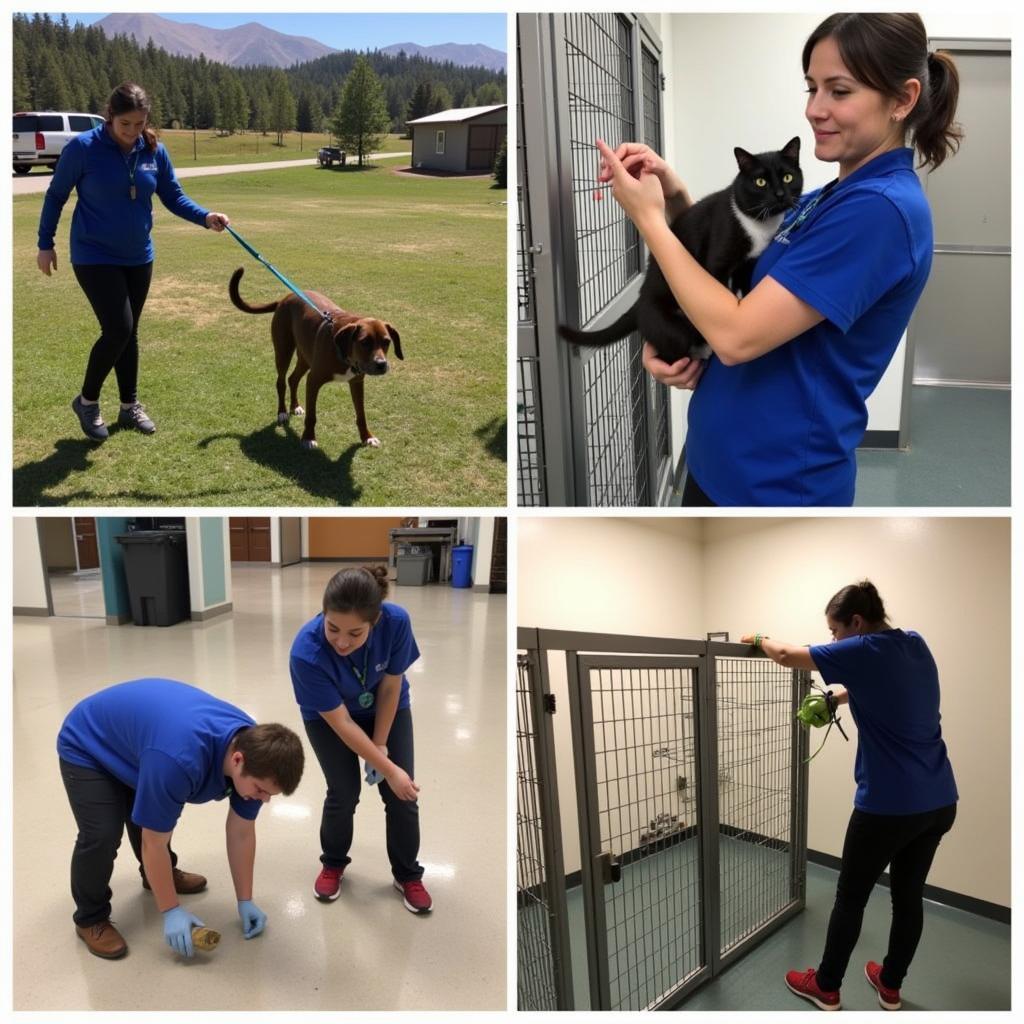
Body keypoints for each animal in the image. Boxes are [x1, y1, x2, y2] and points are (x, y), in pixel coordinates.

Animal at [227, 268, 399, 448]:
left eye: (387, 342)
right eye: (364, 342)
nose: (381, 364)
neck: (344, 354)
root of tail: (284, 299)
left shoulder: (357, 383)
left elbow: (361, 414)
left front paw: (367, 437)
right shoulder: (313, 380)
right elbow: (312, 415)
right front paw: (309, 437)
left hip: (304, 357)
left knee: (293, 379)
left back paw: (295, 406)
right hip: (283, 351)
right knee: (281, 382)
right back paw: (282, 412)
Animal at [557, 137, 802, 364]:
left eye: (788, 178)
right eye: (760, 182)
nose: (780, 195)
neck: (758, 223)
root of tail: (640, 301)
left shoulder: (748, 264)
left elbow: (745, 286)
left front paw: (744, 297)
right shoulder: (717, 262)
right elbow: (723, 285)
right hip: (669, 328)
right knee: (670, 352)